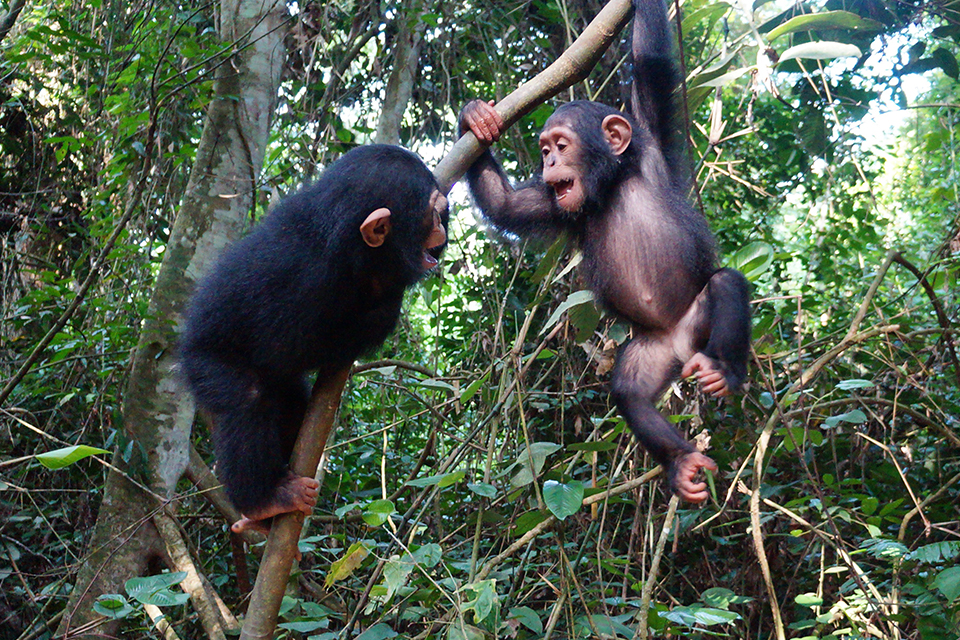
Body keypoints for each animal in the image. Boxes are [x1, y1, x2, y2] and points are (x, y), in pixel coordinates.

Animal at [182, 146, 448, 536]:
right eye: (432, 212)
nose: (443, 224)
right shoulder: (306, 282)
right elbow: (282, 349)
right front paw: (384, 304)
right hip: (204, 364)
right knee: (246, 398)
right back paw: (263, 501)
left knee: (293, 405)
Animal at [462, 0, 752, 504]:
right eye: (544, 150)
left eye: (560, 144)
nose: (549, 161)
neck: (611, 183)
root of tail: (684, 344)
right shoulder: (554, 205)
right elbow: (505, 204)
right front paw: (476, 119)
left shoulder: (649, 137)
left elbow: (649, 62)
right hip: (651, 351)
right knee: (628, 393)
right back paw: (681, 463)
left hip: (700, 318)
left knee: (725, 283)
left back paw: (722, 370)